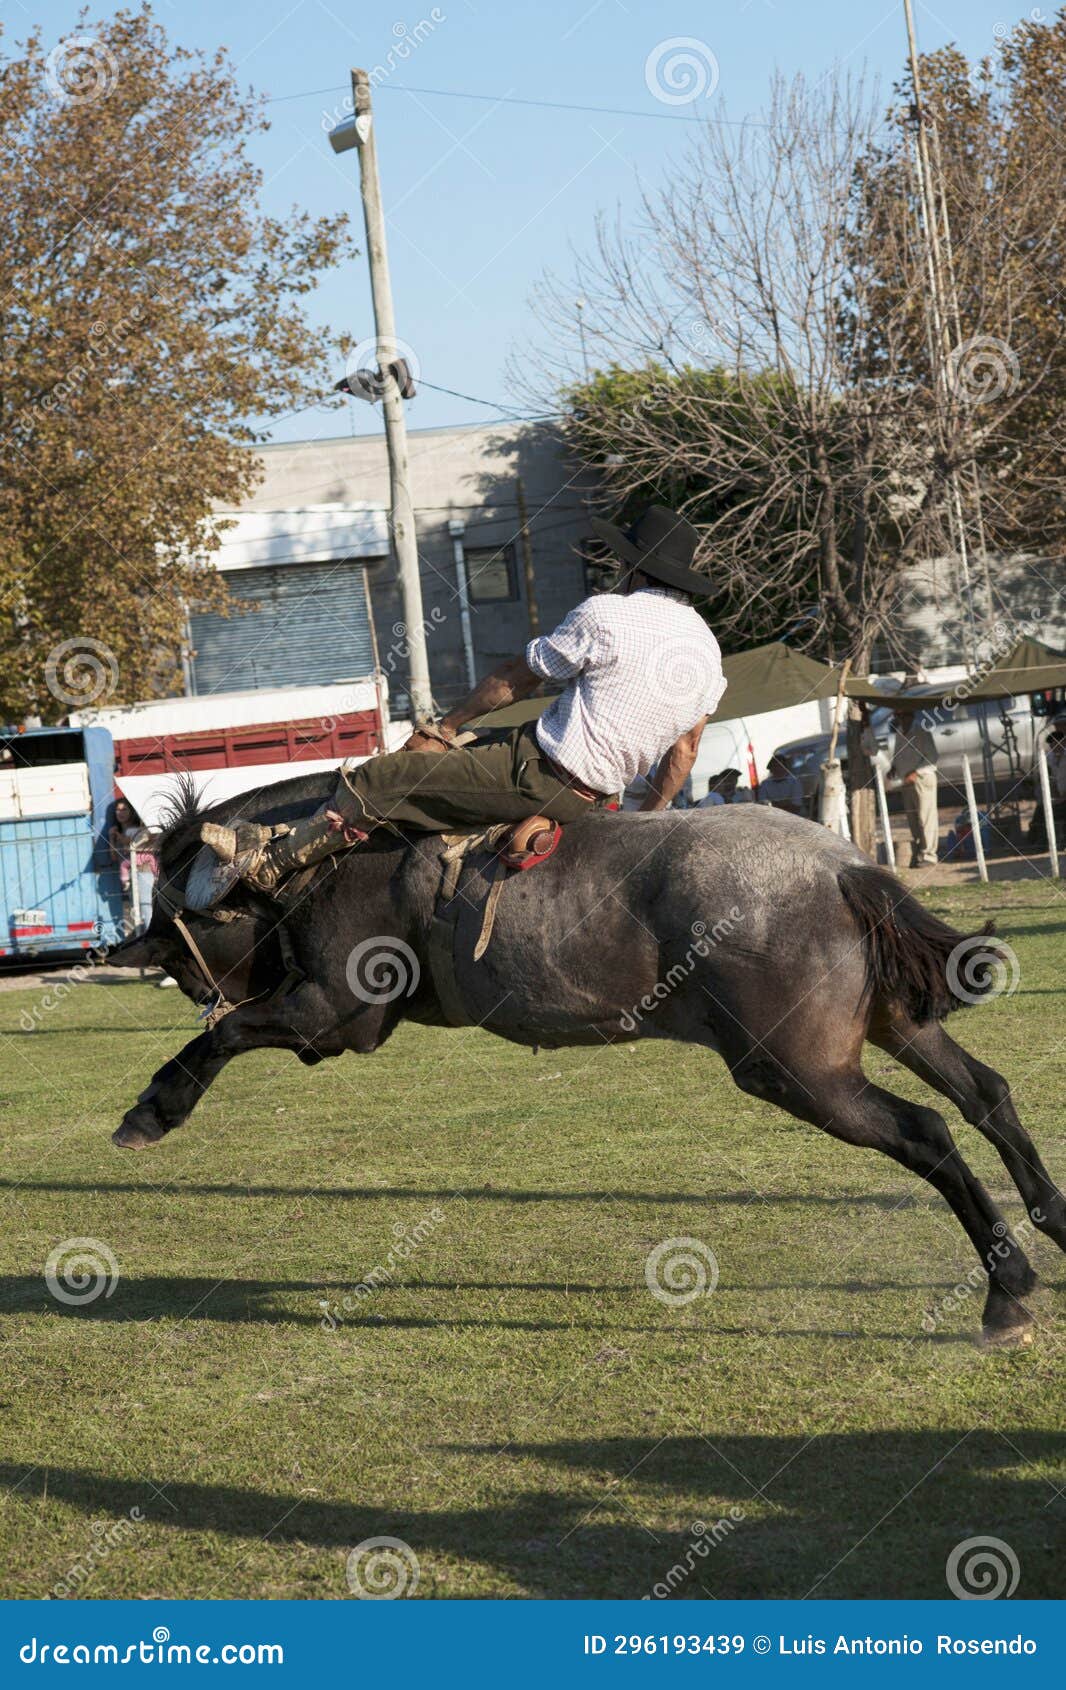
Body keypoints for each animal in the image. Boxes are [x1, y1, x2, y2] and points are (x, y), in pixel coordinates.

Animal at [110, 774, 1066, 1345]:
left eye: (180, 944)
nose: (164, 968)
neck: (325, 861)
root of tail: (839, 867)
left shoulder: (332, 1016)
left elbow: (230, 1036)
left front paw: (155, 1107)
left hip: (801, 1071)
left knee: (927, 1130)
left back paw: (1008, 1290)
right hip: (894, 1027)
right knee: (986, 1094)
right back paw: (1051, 1221)